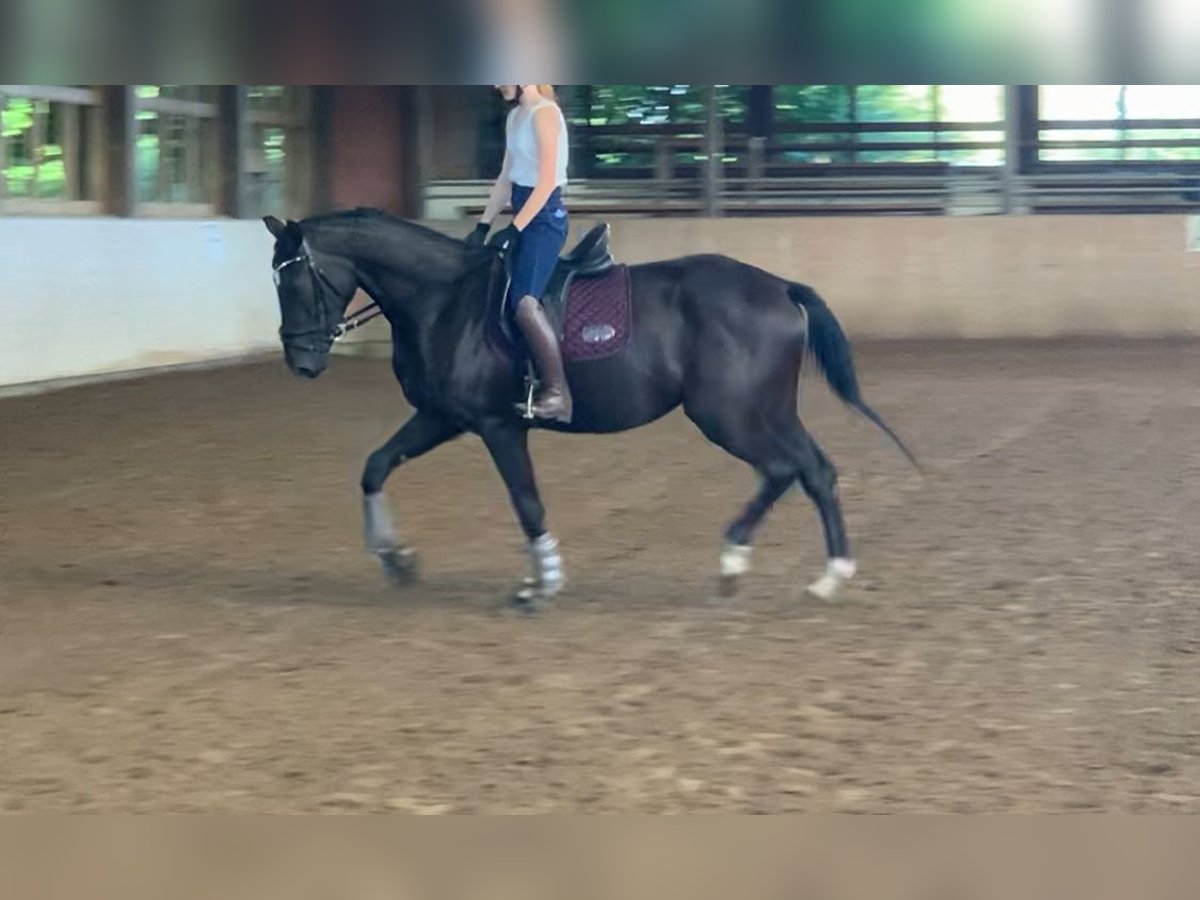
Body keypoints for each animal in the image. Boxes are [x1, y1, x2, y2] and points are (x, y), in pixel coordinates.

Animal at [263, 208, 916, 607]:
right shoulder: (444, 417)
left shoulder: (498, 425)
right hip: (767, 411)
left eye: (293, 282)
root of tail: (780, 287)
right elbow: (376, 465)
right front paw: (395, 558)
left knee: (786, 469)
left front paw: (540, 584)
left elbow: (526, 501)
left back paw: (740, 561)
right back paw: (826, 576)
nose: (301, 362)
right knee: (815, 471)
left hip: (729, 415)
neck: (444, 300)